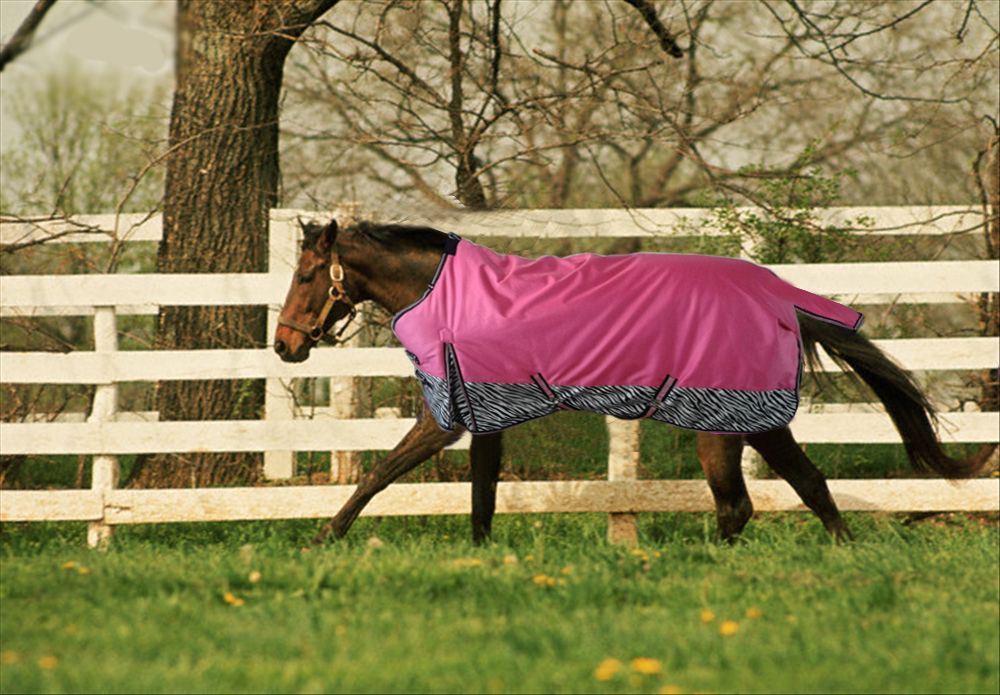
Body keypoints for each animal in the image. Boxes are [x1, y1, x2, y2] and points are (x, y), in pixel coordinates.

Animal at [274, 218, 989, 545]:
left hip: (729, 425)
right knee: (784, 491)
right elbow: (481, 494)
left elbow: (380, 472)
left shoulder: (444, 418)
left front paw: (324, 537)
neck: (453, 300)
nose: (285, 345)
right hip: (744, 427)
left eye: (307, 275)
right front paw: (478, 552)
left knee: (758, 499)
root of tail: (779, 300)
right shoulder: (486, 420)